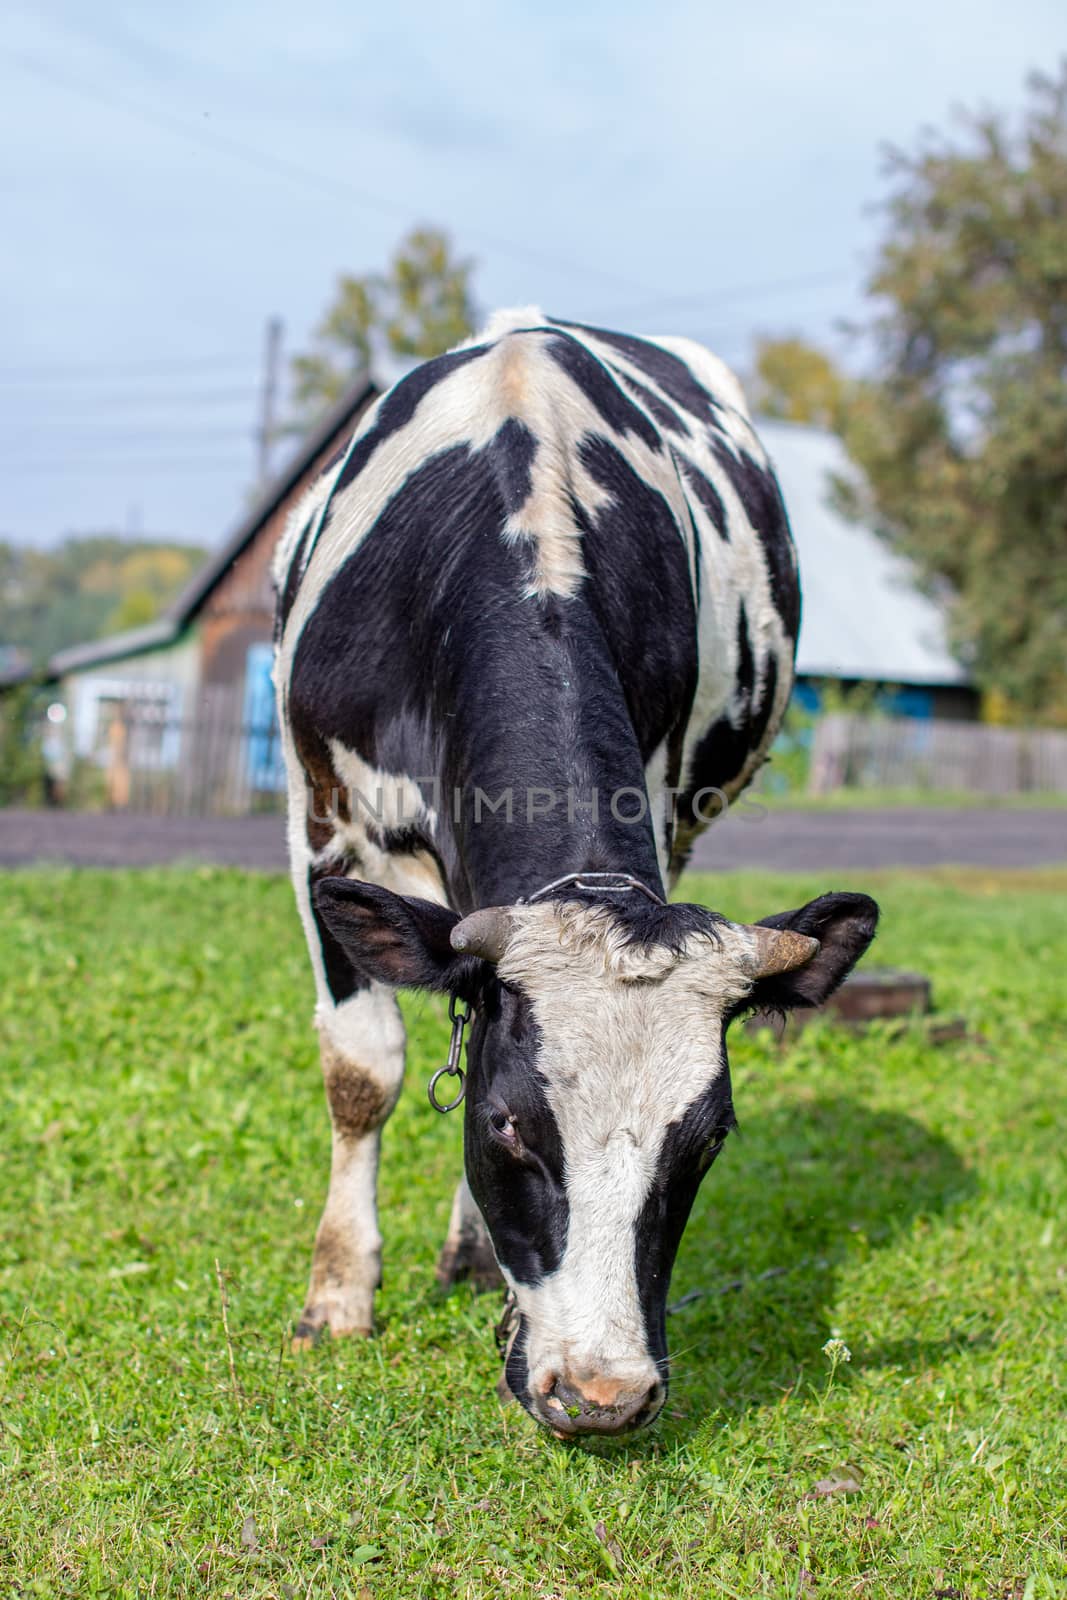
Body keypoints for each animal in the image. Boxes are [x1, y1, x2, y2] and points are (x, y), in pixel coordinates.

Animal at [271, 308, 883, 1440]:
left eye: (706, 1141)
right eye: (508, 1126)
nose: (603, 1395)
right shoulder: (322, 822)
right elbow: (363, 1073)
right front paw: (336, 1296)